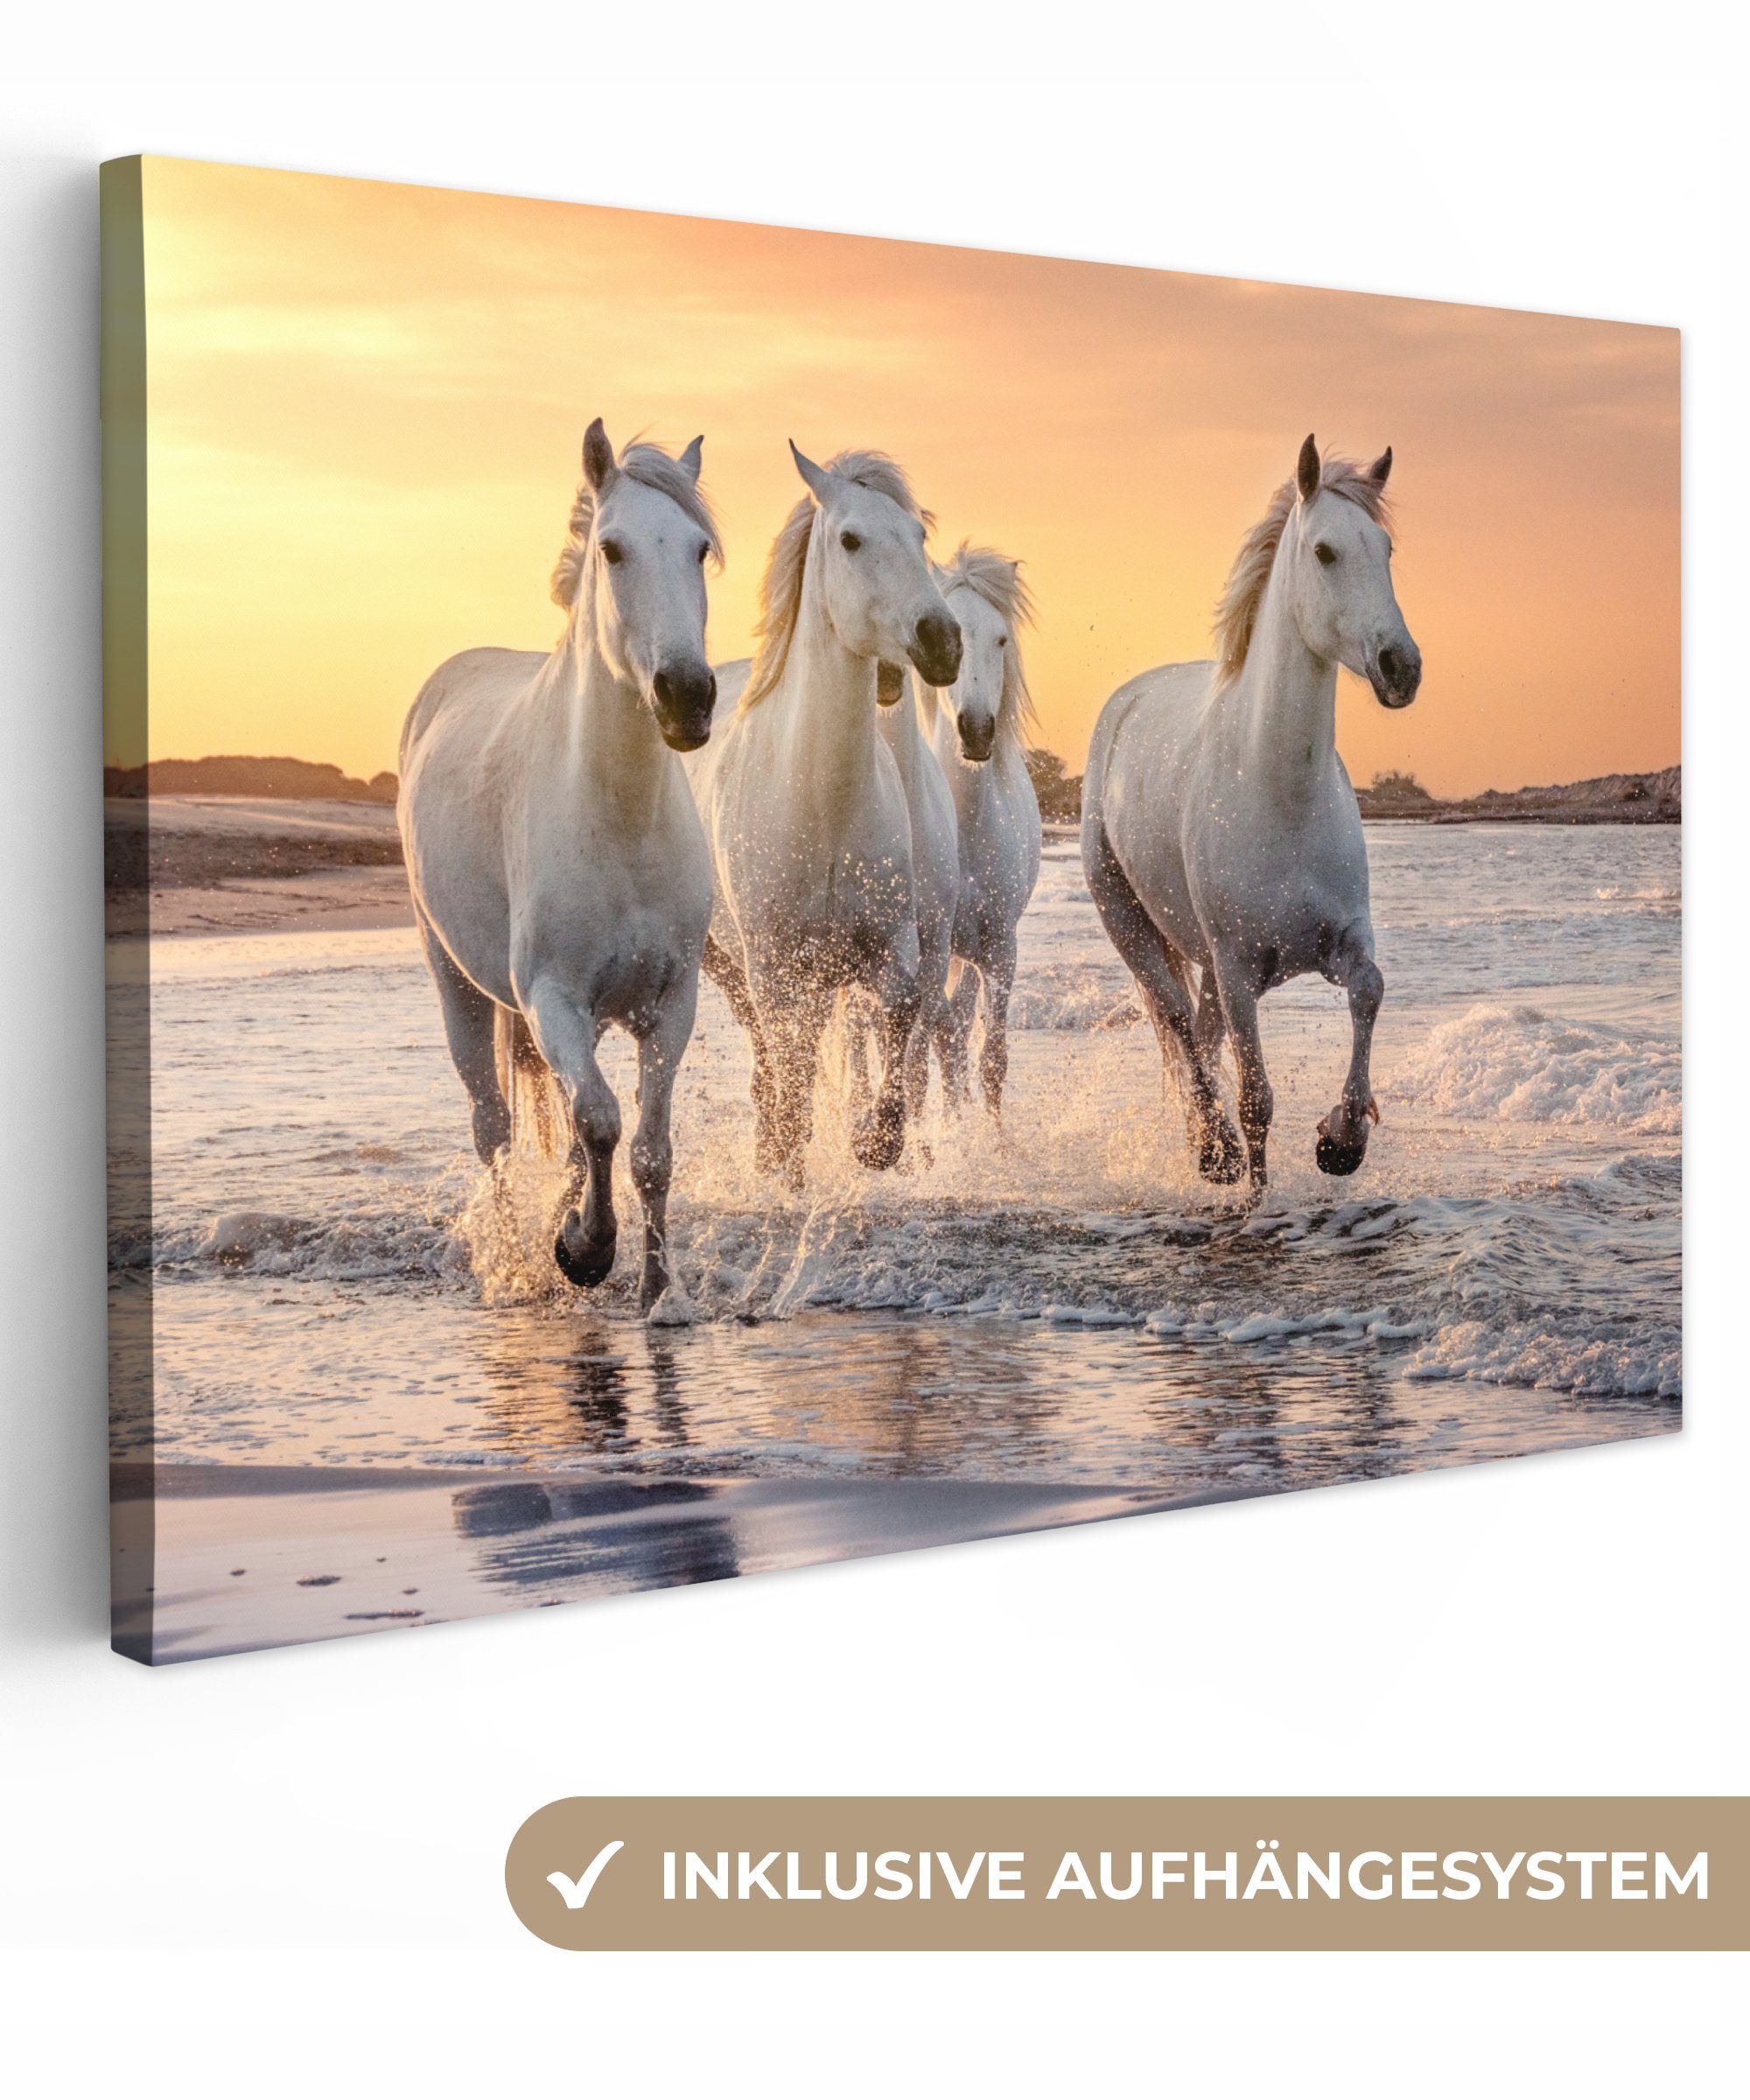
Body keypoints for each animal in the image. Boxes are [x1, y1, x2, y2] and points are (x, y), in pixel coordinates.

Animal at [398, 420, 722, 1311]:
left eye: (700, 549)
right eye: (612, 549)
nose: (687, 696)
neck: (618, 820)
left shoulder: (669, 1005)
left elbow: (647, 1149)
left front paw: (656, 1292)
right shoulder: (553, 999)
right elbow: (602, 1123)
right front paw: (585, 1251)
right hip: (459, 987)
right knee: (495, 1131)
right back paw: (516, 1261)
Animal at [682, 444, 962, 1187]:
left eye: (919, 535)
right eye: (851, 539)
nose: (942, 640)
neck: (823, 807)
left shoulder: (893, 949)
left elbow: (897, 1025)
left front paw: (875, 1143)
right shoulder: (777, 967)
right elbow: (793, 1068)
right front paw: (788, 1160)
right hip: (730, 963)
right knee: (769, 1055)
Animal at [1080, 436, 1422, 1196]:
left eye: (1387, 547)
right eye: (1325, 551)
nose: (1401, 667)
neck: (1279, 793)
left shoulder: (1342, 941)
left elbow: (1371, 992)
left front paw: (1341, 1139)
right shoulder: (1238, 971)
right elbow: (1257, 1100)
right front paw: (1257, 1189)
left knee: (1198, 1038)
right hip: (1134, 927)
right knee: (1179, 1025)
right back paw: (1214, 1152)